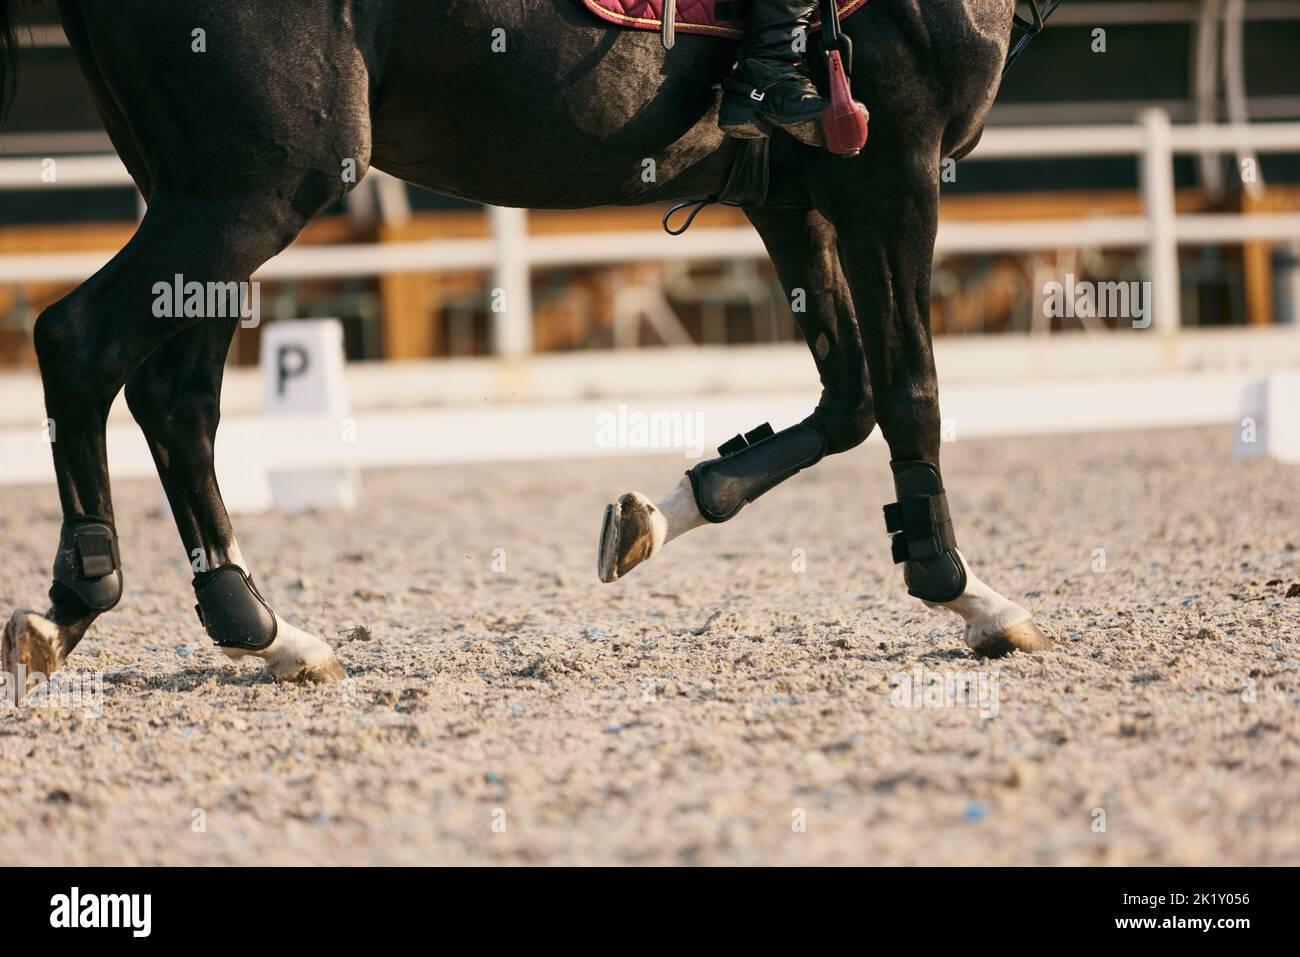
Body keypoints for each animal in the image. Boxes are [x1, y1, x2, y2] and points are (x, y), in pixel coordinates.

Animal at [0, 1, 1045, 686]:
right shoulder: (892, 173)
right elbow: (909, 389)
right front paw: (964, 593)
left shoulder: (793, 197)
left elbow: (849, 398)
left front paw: (658, 515)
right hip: (256, 188)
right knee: (81, 342)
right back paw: (76, 600)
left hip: (205, 195)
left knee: (176, 400)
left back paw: (256, 625)